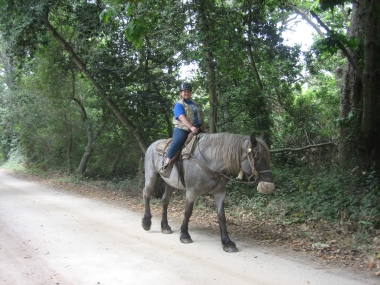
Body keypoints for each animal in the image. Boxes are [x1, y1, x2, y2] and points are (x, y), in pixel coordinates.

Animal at [142, 132, 274, 252]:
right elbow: (188, 212)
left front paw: (227, 242)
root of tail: (153, 144)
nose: (269, 186)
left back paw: (165, 226)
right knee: (146, 194)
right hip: (151, 176)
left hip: (170, 183)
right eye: (257, 156)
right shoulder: (191, 191)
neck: (210, 161)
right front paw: (184, 235)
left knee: (165, 201)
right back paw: (146, 222)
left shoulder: (220, 193)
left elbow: (221, 216)